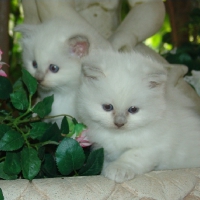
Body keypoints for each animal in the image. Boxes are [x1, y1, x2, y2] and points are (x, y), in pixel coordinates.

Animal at [77, 49, 200, 183]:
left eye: (133, 109)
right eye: (107, 107)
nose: (119, 123)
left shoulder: (153, 147)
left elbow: (131, 156)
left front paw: (118, 170)